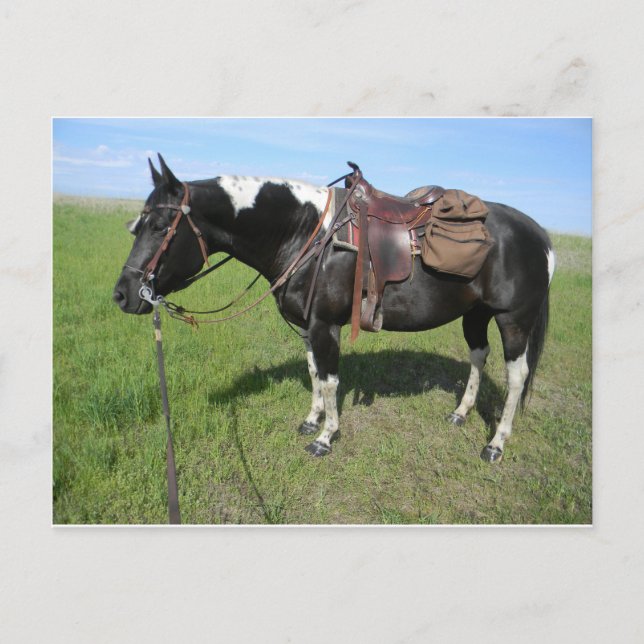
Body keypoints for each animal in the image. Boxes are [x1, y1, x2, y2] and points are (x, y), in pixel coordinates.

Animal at [113, 154, 555, 462]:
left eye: (159, 227)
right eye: (136, 226)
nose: (122, 294)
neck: (306, 234)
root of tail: (541, 235)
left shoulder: (325, 325)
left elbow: (329, 380)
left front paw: (326, 437)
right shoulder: (308, 326)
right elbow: (313, 374)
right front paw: (312, 421)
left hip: (513, 320)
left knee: (516, 377)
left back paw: (496, 443)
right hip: (476, 314)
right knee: (478, 356)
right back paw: (461, 413)